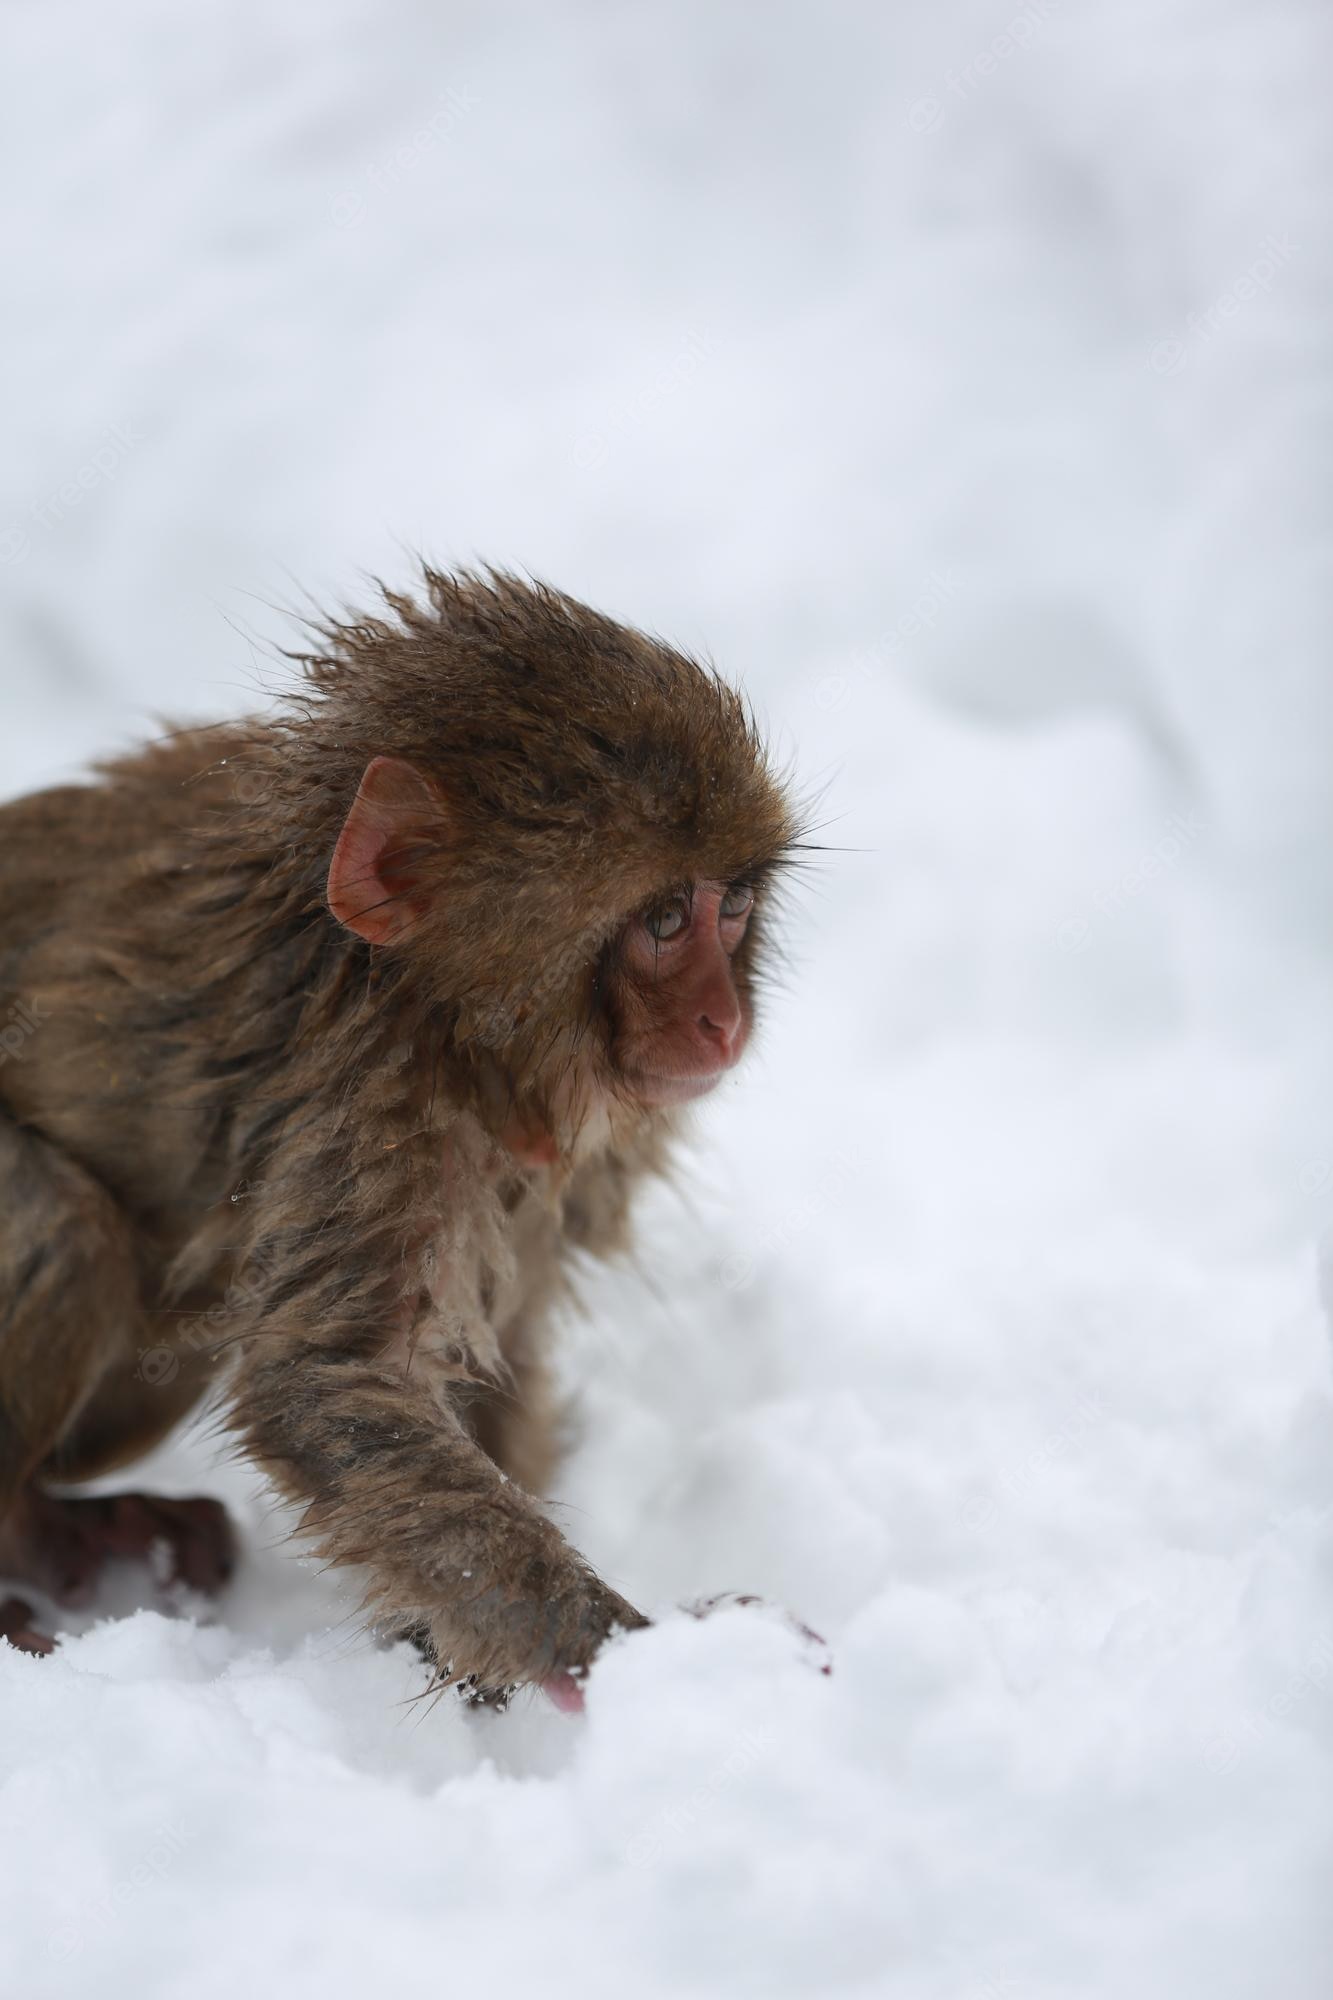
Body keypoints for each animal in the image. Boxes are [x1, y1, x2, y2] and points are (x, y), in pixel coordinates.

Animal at [0, 568, 792, 1704]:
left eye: (729, 908)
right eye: (663, 922)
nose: (723, 1020)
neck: (442, 1025)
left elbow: (494, 1352)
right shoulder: (372, 1114)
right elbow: (325, 1387)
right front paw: (641, 1660)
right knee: (66, 1228)